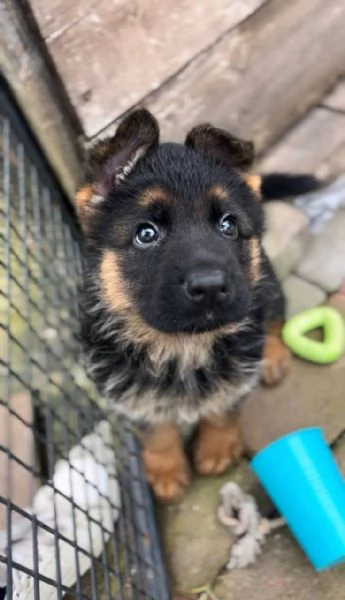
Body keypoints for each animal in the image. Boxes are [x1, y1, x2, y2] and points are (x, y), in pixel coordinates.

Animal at [76, 109, 318, 502]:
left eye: (228, 225)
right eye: (146, 234)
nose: (210, 288)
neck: (182, 347)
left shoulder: (237, 374)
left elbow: (222, 411)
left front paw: (216, 449)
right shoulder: (129, 396)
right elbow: (156, 432)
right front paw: (166, 471)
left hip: (264, 287)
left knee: (275, 318)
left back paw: (274, 356)